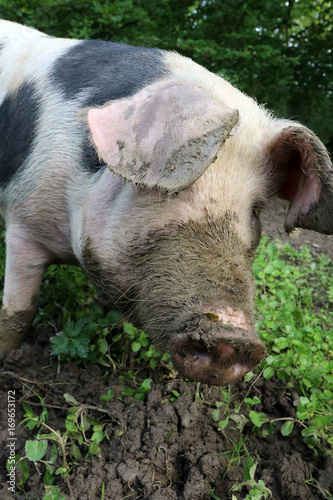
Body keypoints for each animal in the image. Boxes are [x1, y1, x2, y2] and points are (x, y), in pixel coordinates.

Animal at [0, 20, 332, 386]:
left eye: (255, 209)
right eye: (175, 190)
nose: (232, 337)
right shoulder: (23, 222)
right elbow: (19, 310)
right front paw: (6, 356)